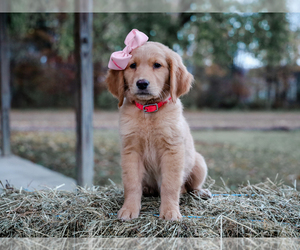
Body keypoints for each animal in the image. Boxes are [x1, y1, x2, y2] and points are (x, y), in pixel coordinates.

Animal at [105, 40, 211, 220]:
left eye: (157, 65)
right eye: (132, 65)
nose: (142, 83)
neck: (149, 109)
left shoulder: (172, 150)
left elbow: (170, 185)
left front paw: (170, 211)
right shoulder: (131, 151)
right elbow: (132, 183)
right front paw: (129, 209)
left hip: (199, 163)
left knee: (189, 187)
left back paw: (200, 192)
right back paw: (147, 189)